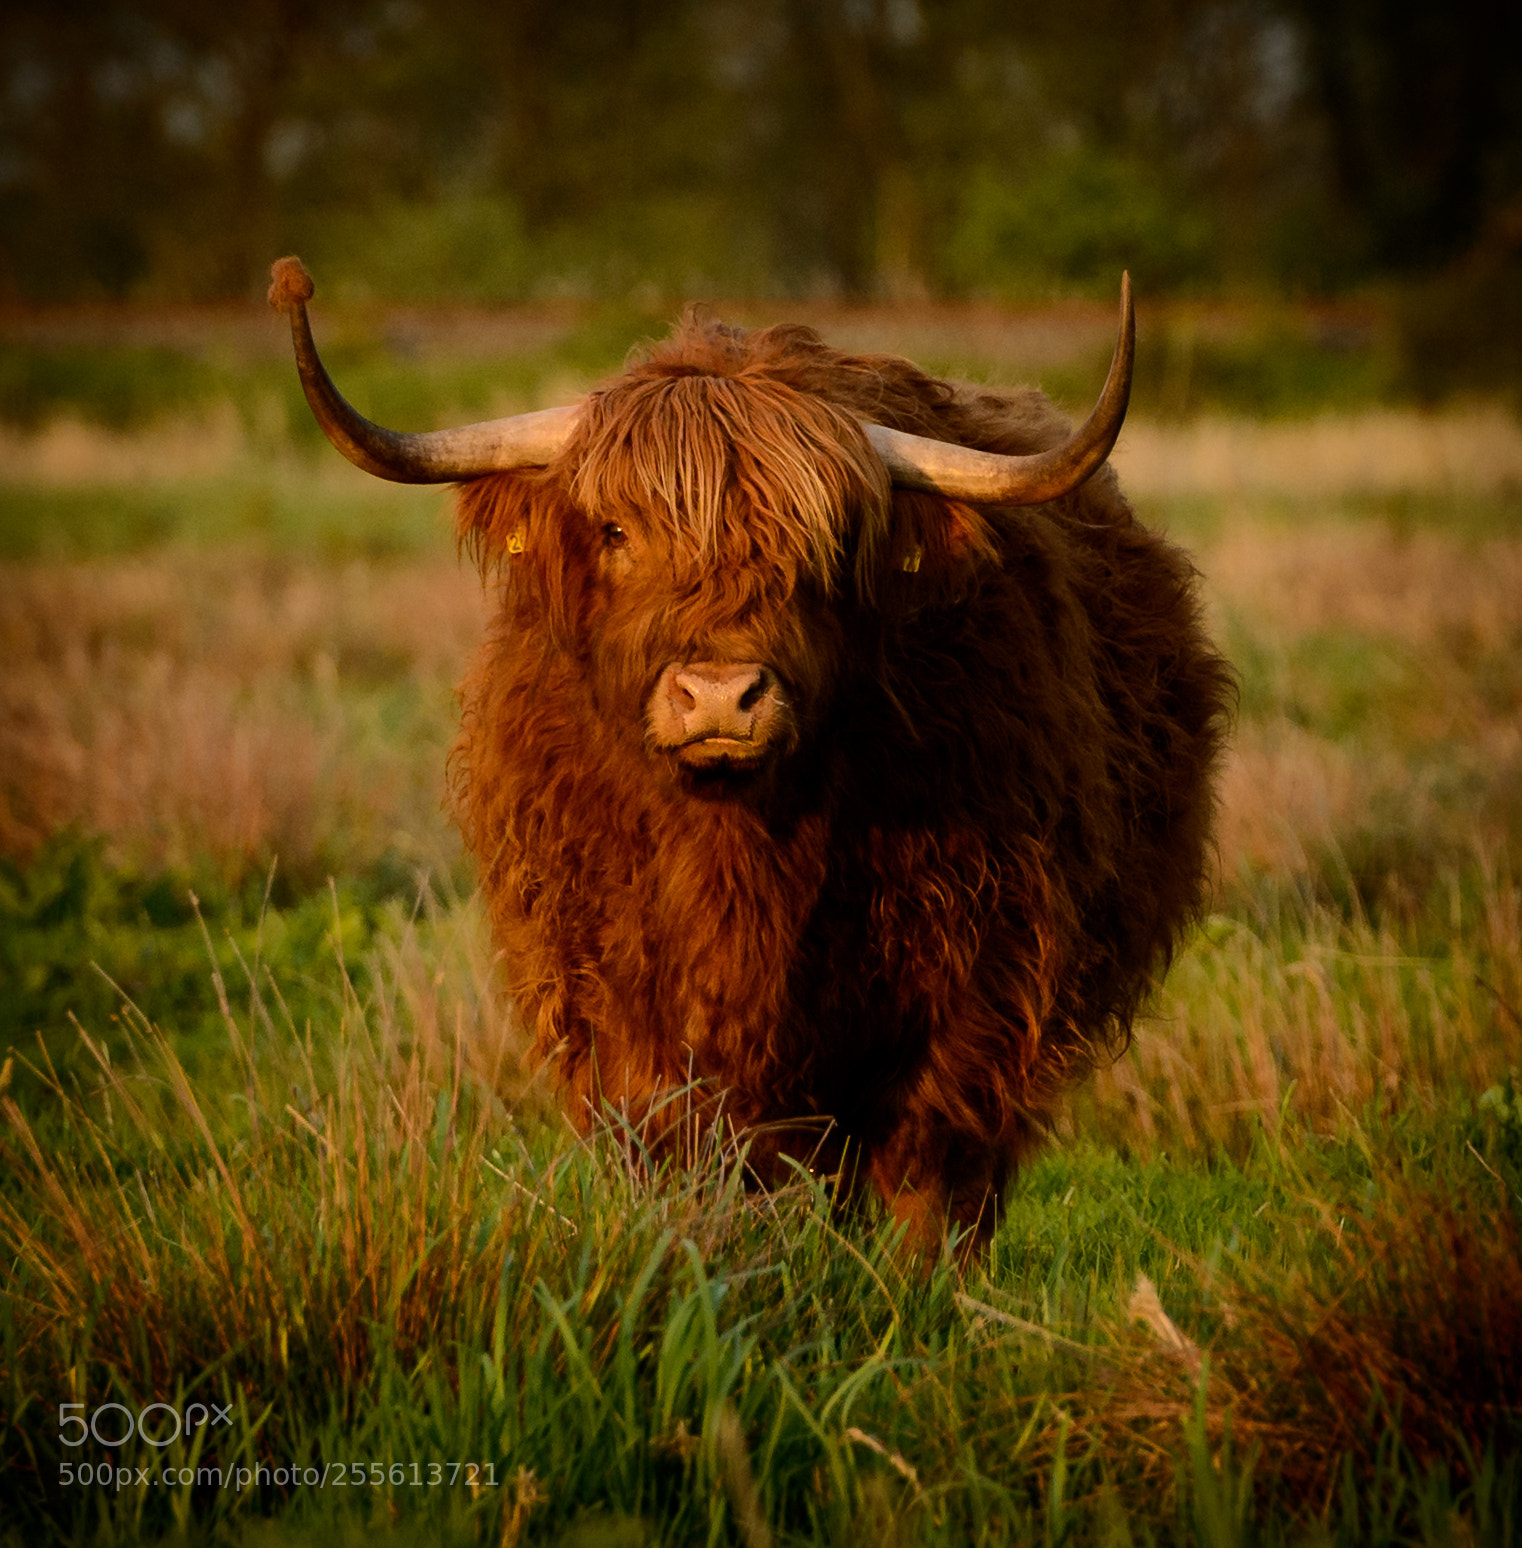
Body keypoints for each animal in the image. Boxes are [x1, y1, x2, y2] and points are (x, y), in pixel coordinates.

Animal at [269, 256, 1232, 1256]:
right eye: (617, 531)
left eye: (828, 543)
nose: (720, 694)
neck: (739, 850)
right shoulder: (615, 991)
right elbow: (692, 1151)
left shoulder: (982, 970)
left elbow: (931, 1167)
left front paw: (917, 1285)